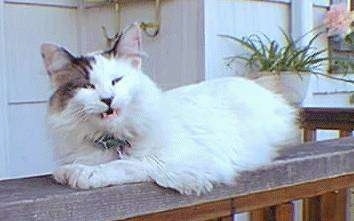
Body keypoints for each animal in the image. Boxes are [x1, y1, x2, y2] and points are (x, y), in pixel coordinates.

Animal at [40, 22, 298, 195]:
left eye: (116, 81)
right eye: (88, 86)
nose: (107, 99)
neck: (113, 138)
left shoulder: (183, 162)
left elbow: (127, 165)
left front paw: (83, 173)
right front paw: (68, 171)